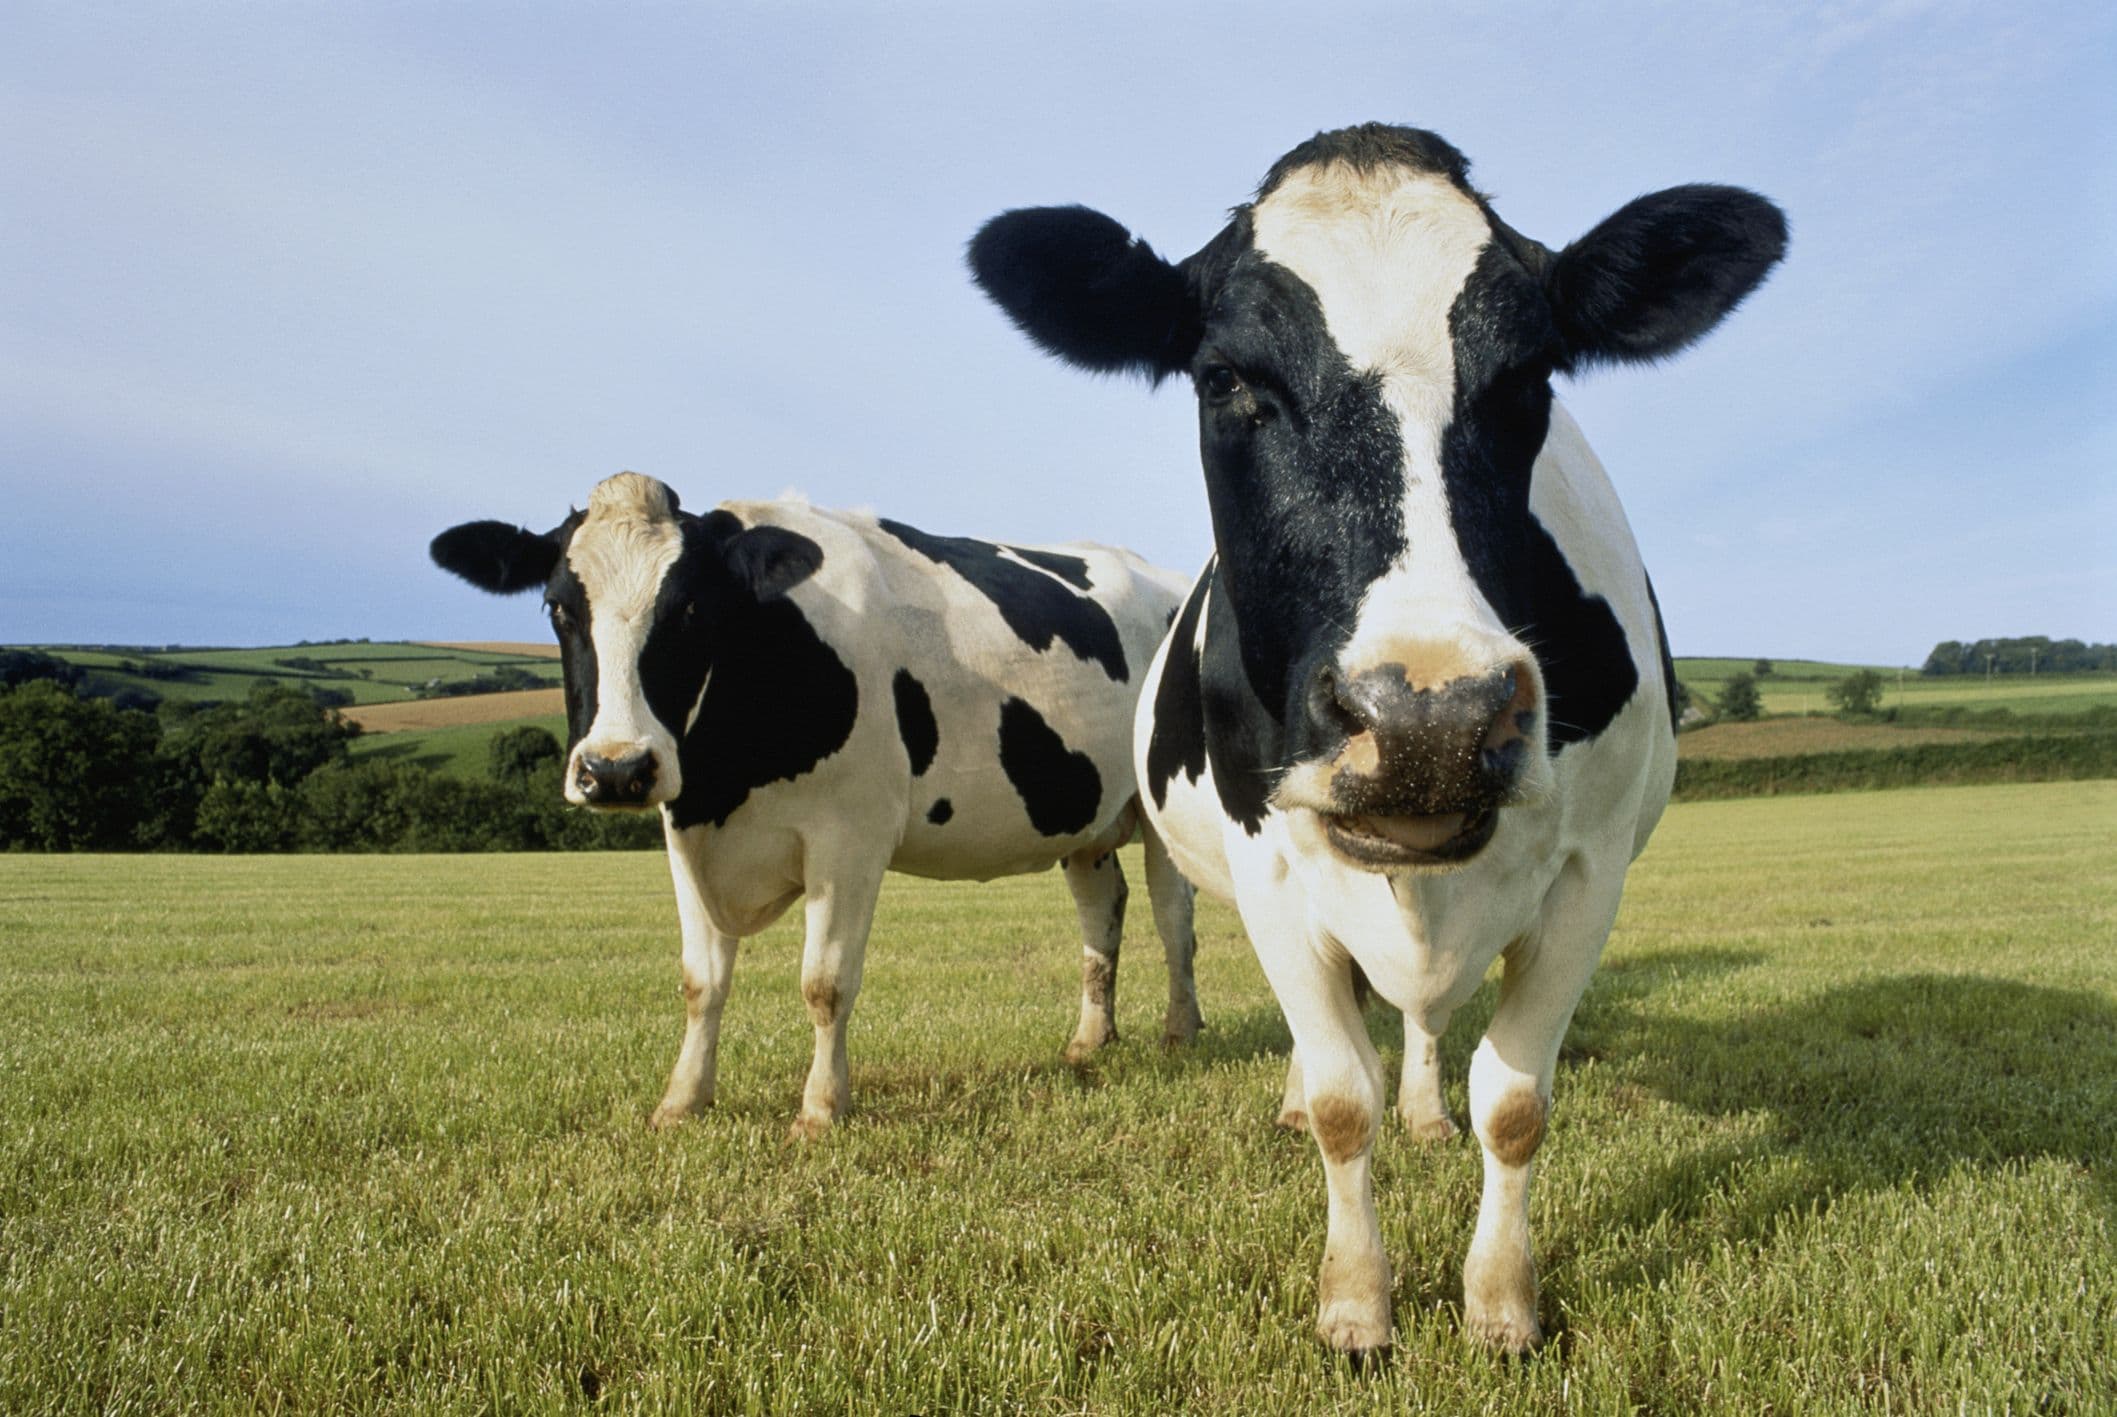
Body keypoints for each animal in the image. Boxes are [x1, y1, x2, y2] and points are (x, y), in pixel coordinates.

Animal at [430, 473, 1201, 1138]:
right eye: (559, 607)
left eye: (690, 608)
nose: (614, 769)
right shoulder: (685, 833)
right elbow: (700, 982)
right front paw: (682, 1101)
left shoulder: (850, 838)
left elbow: (824, 983)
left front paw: (821, 1108)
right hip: (1086, 821)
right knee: (1101, 915)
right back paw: (1090, 1040)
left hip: (1162, 813)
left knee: (1173, 922)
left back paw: (1180, 1031)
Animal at [969, 123, 1784, 1356]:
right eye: (1227, 379)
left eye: (1530, 377)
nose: (1427, 721)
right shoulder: (1268, 864)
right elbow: (1341, 1101)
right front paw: (1355, 1304)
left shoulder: (1589, 870)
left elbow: (1514, 1101)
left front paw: (1500, 1303)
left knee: (1420, 1018)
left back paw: (1426, 1108)